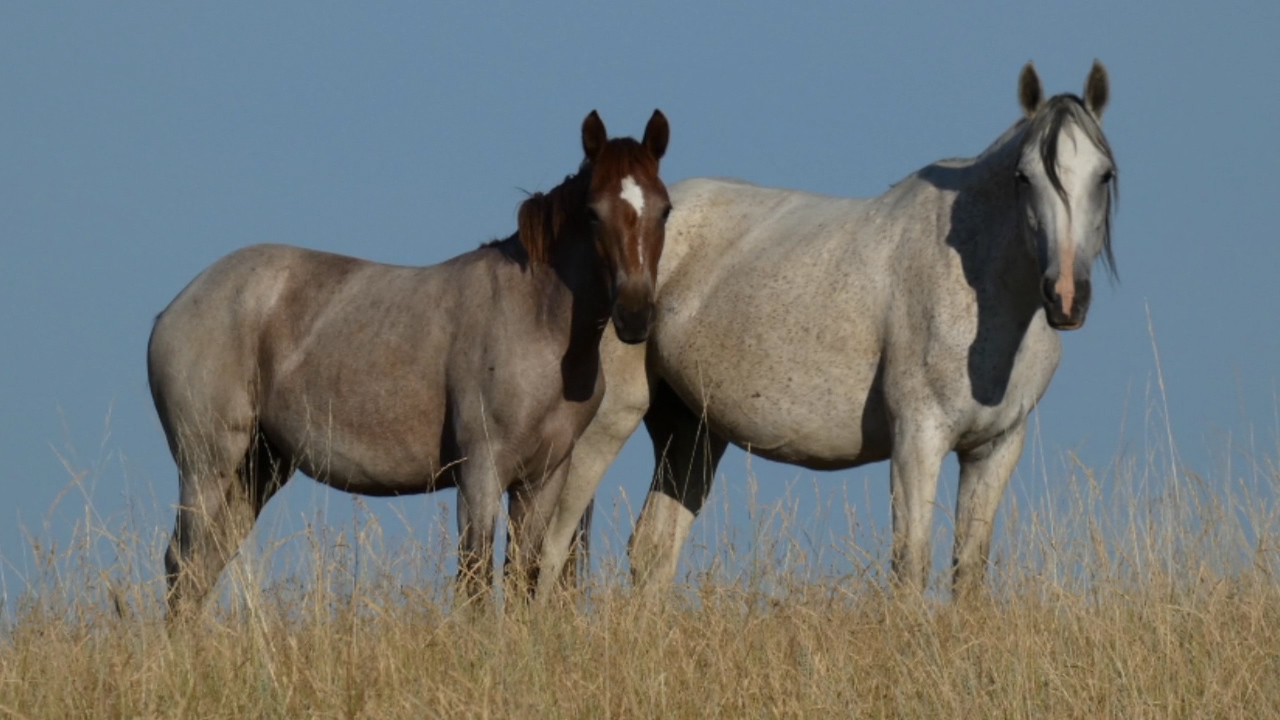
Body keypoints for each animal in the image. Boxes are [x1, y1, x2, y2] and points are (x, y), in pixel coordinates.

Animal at [148, 109, 672, 619]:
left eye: (664, 210)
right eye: (592, 212)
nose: (635, 314)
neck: (537, 323)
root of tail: (174, 308)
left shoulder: (544, 477)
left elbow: (523, 576)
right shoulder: (481, 471)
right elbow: (476, 577)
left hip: (258, 467)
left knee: (204, 564)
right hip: (206, 464)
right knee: (182, 561)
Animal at [537, 62, 1117, 600]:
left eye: (1104, 175)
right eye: (1024, 176)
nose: (1066, 295)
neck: (979, 288)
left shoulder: (994, 448)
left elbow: (968, 573)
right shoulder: (918, 439)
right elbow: (911, 564)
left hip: (691, 431)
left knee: (652, 550)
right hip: (607, 421)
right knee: (550, 545)